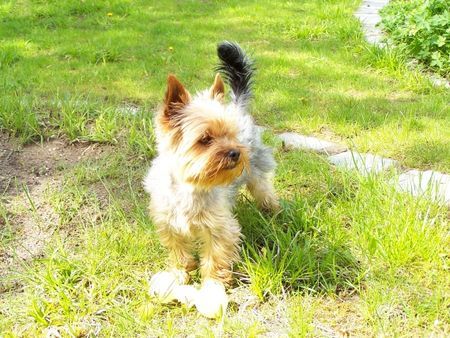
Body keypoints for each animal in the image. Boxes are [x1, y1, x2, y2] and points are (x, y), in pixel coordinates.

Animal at [143, 41, 278, 318]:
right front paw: (180, 274)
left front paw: (211, 287)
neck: (190, 185)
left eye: (231, 134)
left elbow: (215, 259)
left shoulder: (218, 228)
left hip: (257, 172)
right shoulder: (169, 224)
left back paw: (275, 213)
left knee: (265, 191)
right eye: (204, 139)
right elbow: (179, 251)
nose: (236, 152)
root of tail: (237, 106)